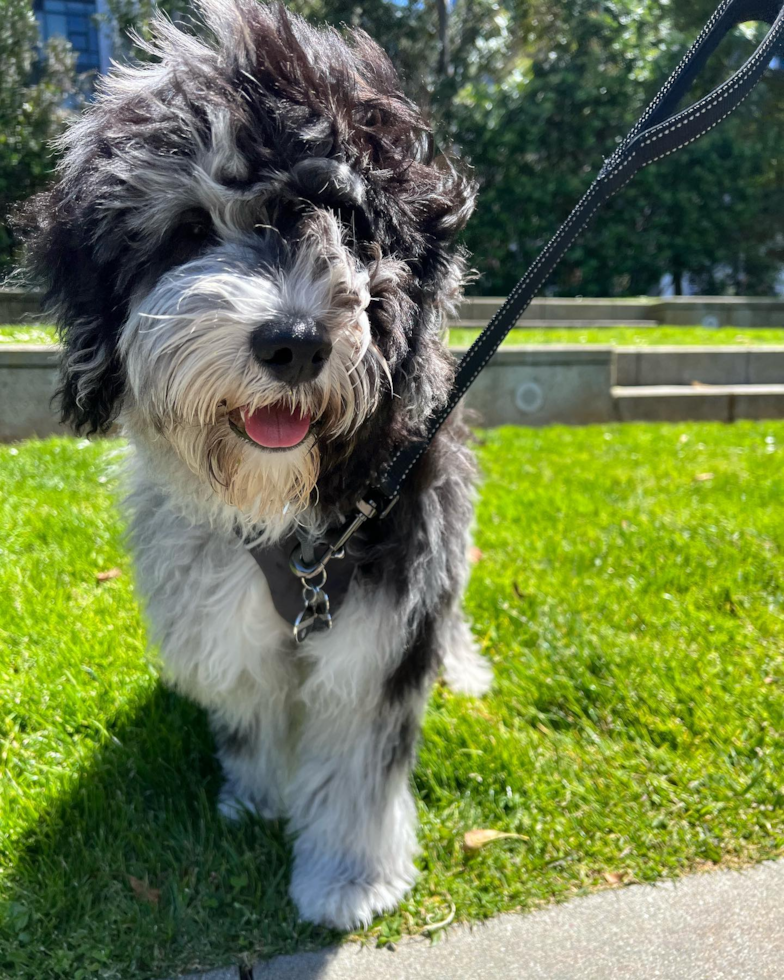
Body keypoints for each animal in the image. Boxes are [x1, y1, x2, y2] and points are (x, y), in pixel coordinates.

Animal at [24, 0, 494, 932]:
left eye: (352, 227)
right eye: (191, 229)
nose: (296, 341)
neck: (297, 517)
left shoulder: (386, 615)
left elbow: (358, 760)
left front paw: (347, 875)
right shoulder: (222, 607)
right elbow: (251, 707)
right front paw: (259, 798)